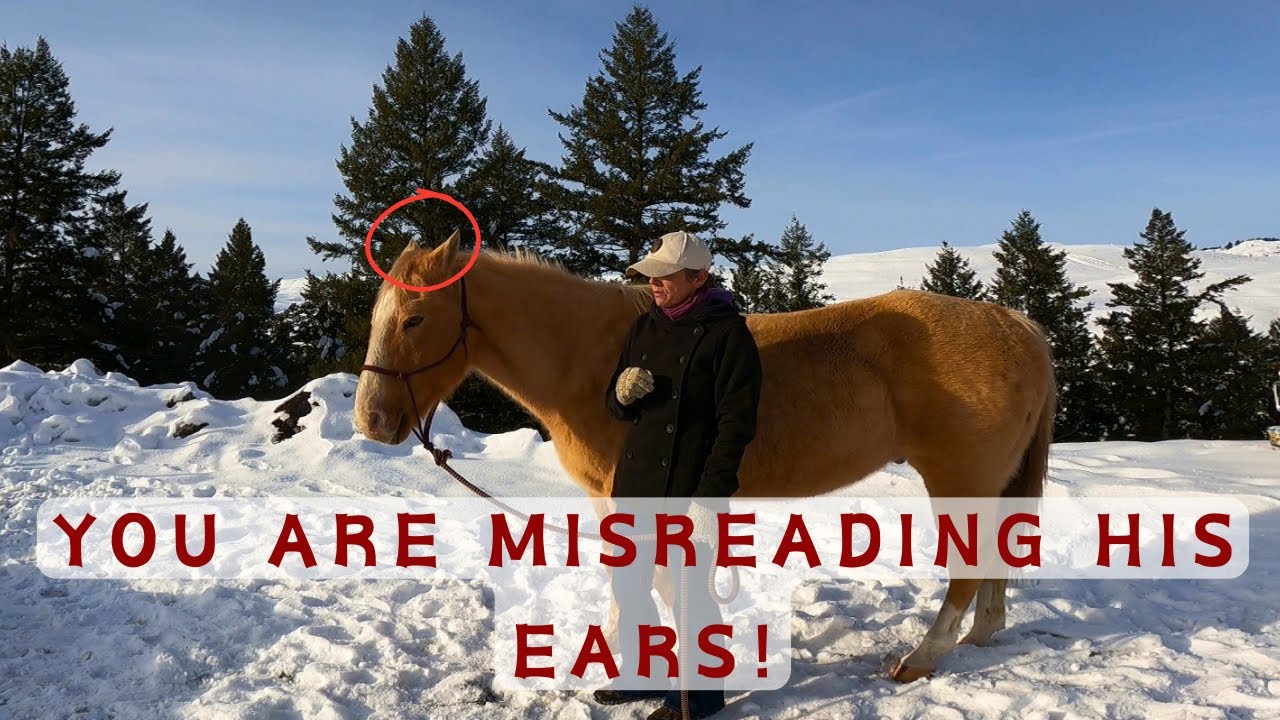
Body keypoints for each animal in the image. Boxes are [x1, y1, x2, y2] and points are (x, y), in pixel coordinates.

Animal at [354, 231, 1056, 682]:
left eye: (414, 319)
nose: (372, 420)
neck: (598, 357)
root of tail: (1016, 325)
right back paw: (982, 633)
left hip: (958, 478)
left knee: (968, 567)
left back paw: (922, 657)